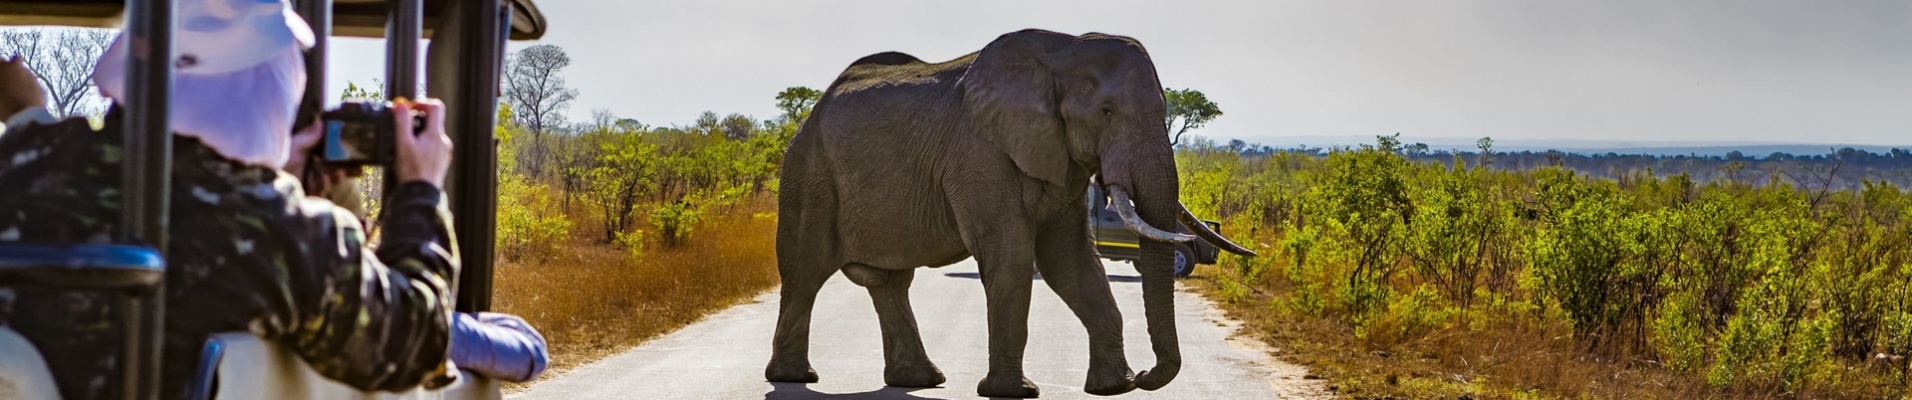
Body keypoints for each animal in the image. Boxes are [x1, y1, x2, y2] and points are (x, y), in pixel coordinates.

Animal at [768, 28, 1261, 396]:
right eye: (1105, 112)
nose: (1145, 376)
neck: (1061, 53)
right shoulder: (978, 154)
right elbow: (1010, 255)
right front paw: (1014, 392)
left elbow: (1071, 262)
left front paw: (1113, 387)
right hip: (809, 174)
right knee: (805, 271)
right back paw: (795, 377)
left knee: (889, 282)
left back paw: (921, 380)